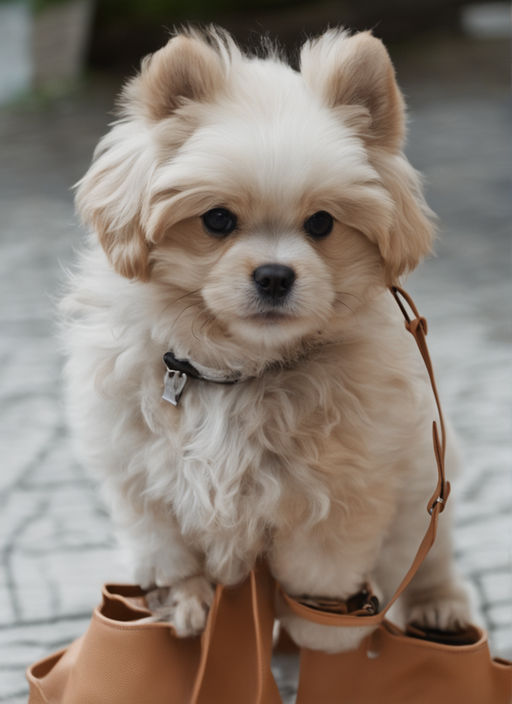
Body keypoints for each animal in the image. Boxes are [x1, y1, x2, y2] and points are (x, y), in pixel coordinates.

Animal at [63, 28, 472, 656]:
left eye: (322, 224)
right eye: (217, 220)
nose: (276, 275)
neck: (236, 374)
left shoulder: (337, 499)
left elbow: (317, 577)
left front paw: (321, 632)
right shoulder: (141, 485)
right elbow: (168, 553)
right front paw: (187, 604)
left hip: (422, 494)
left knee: (427, 560)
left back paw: (439, 608)